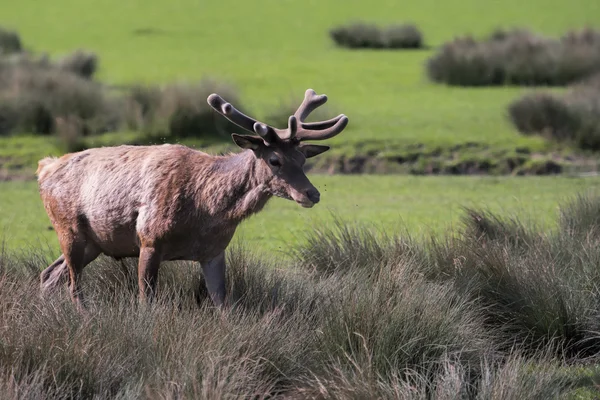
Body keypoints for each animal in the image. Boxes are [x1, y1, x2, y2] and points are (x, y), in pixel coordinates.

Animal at [36, 88, 346, 310]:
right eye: (274, 160)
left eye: (303, 158)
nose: (312, 193)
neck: (204, 214)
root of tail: (44, 168)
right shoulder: (149, 239)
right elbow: (146, 302)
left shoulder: (214, 251)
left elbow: (224, 304)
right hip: (68, 228)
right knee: (74, 287)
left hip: (95, 243)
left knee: (49, 275)